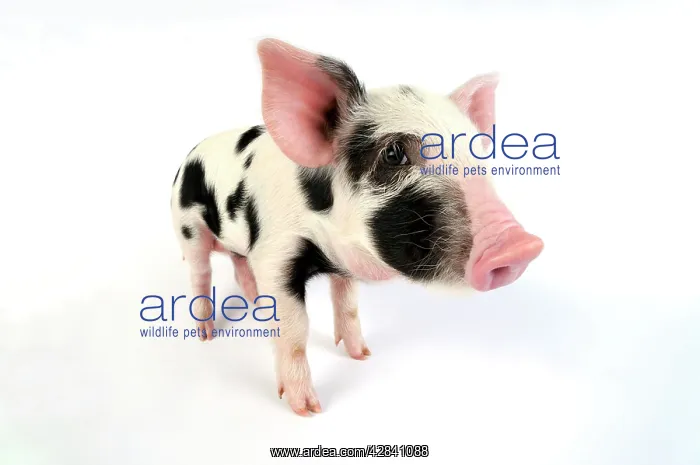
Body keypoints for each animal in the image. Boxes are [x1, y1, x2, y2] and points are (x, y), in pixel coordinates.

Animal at [170, 38, 544, 416]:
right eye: (393, 153)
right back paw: (206, 333)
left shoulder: (336, 265)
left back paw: (255, 308)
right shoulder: (275, 255)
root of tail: (188, 157)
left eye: (479, 152)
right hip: (188, 227)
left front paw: (362, 356)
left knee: (239, 266)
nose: (519, 244)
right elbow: (294, 330)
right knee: (201, 273)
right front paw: (307, 409)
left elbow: (347, 304)